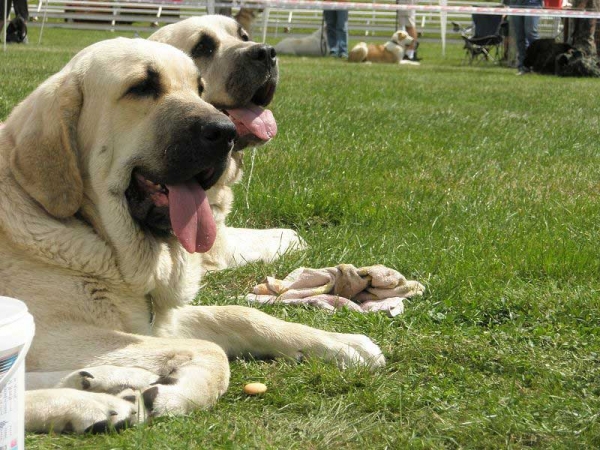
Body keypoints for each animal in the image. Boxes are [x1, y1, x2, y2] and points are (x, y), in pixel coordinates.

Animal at [0, 36, 384, 432]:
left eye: (199, 88)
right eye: (142, 87)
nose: (227, 132)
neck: (100, 236)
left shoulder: (159, 321)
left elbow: (240, 315)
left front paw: (340, 343)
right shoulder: (52, 332)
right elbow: (210, 350)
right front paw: (175, 393)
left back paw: (102, 384)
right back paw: (92, 402)